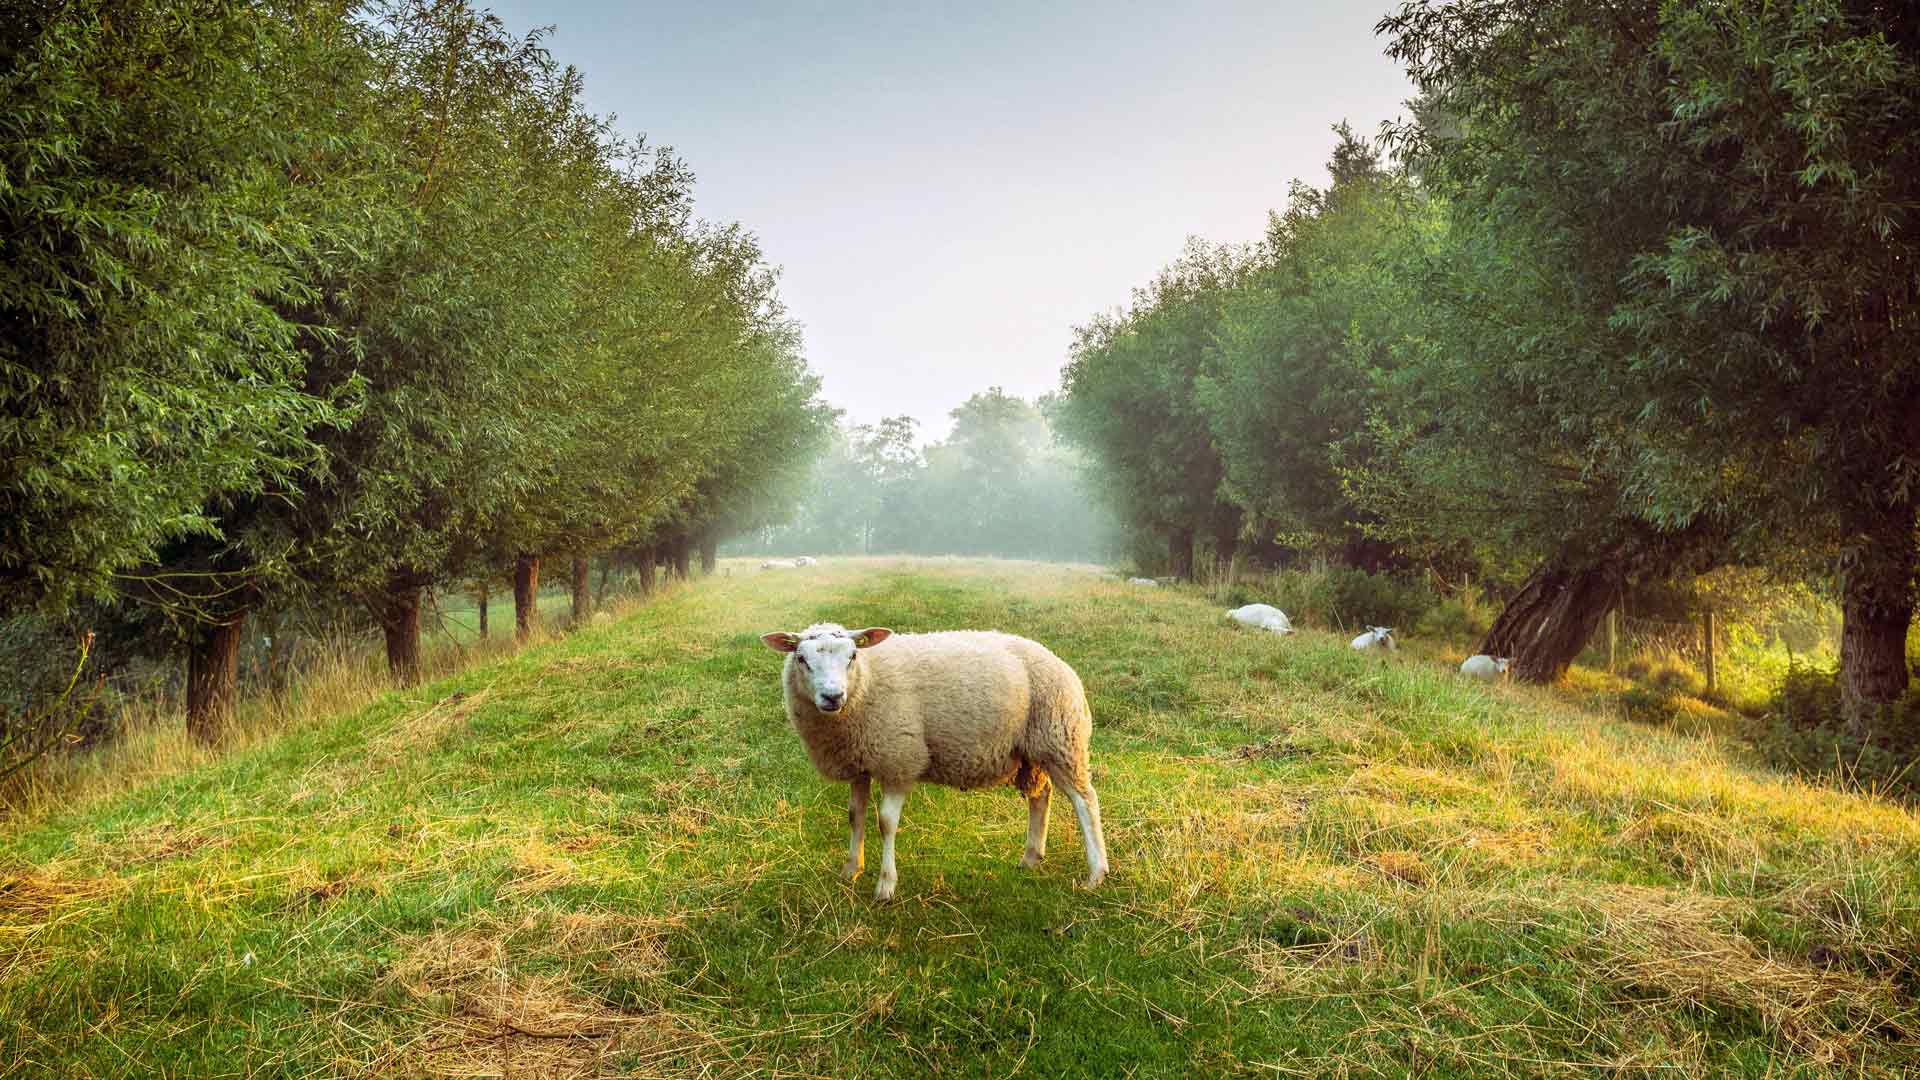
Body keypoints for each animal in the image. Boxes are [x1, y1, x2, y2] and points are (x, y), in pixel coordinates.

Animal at [752, 618, 1105, 895]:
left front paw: (885, 885)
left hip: (1060, 738)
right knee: (1041, 796)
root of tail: (1058, 661)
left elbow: (886, 823)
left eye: (852, 656)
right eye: (801, 658)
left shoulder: (899, 759)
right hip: (1031, 751)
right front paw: (851, 869)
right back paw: (1031, 857)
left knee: (1085, 800)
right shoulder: (860, 762)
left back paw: (1096, 873)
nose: (832, 696)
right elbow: (855, 816)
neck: (866, 682)